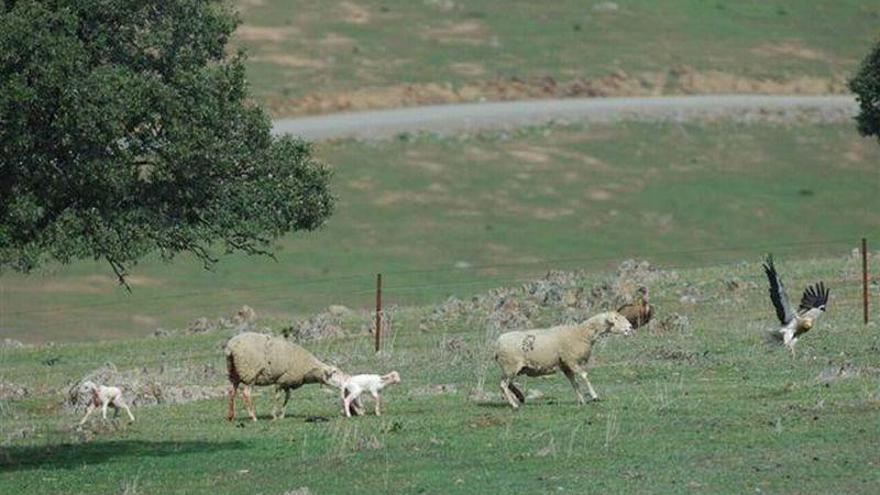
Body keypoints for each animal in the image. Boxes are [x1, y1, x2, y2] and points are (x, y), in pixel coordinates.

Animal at [496, 312, 632, 408]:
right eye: (616, 318)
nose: (630, 327)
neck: (582, 333)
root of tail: (498, 342)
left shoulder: (566, 366)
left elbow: (574, 382)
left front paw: (581, 400)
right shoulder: (571, 360)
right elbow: (584, 376)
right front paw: (594, 396)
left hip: (512, 368)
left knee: (507, 384)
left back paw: (519, 397)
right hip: (511, 366)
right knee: (503, 384)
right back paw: (514, 404)